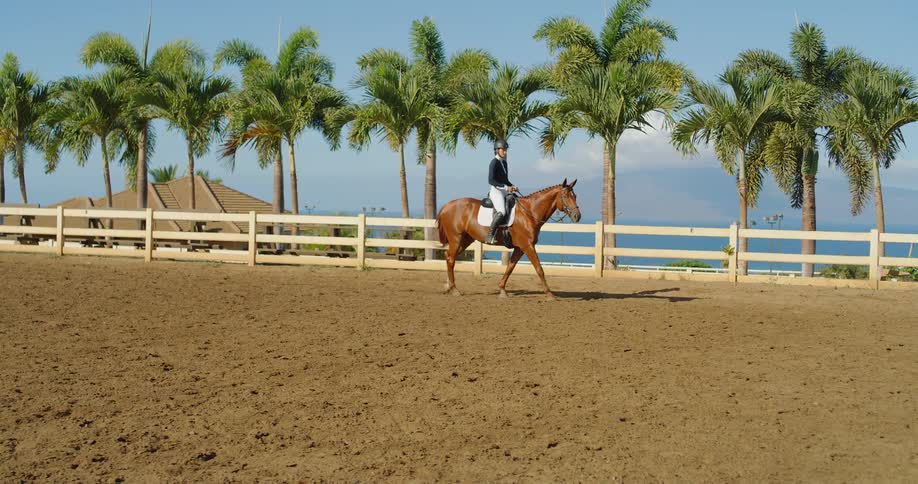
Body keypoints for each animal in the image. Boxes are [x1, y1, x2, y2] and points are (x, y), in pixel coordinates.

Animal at [435, 179, 582, 300]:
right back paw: (454, 289)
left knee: (449, 257)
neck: (529, 212)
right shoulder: (528, 246)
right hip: (456, 238)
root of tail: (447, 206)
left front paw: (502, 290)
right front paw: (550, 294)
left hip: (465, 240)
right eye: (565, 196)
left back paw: (448, 286)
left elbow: (510, 267)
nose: (577, 216)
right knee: (451, 259)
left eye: (575, 196)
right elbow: (539, 269)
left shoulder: (519, 248)